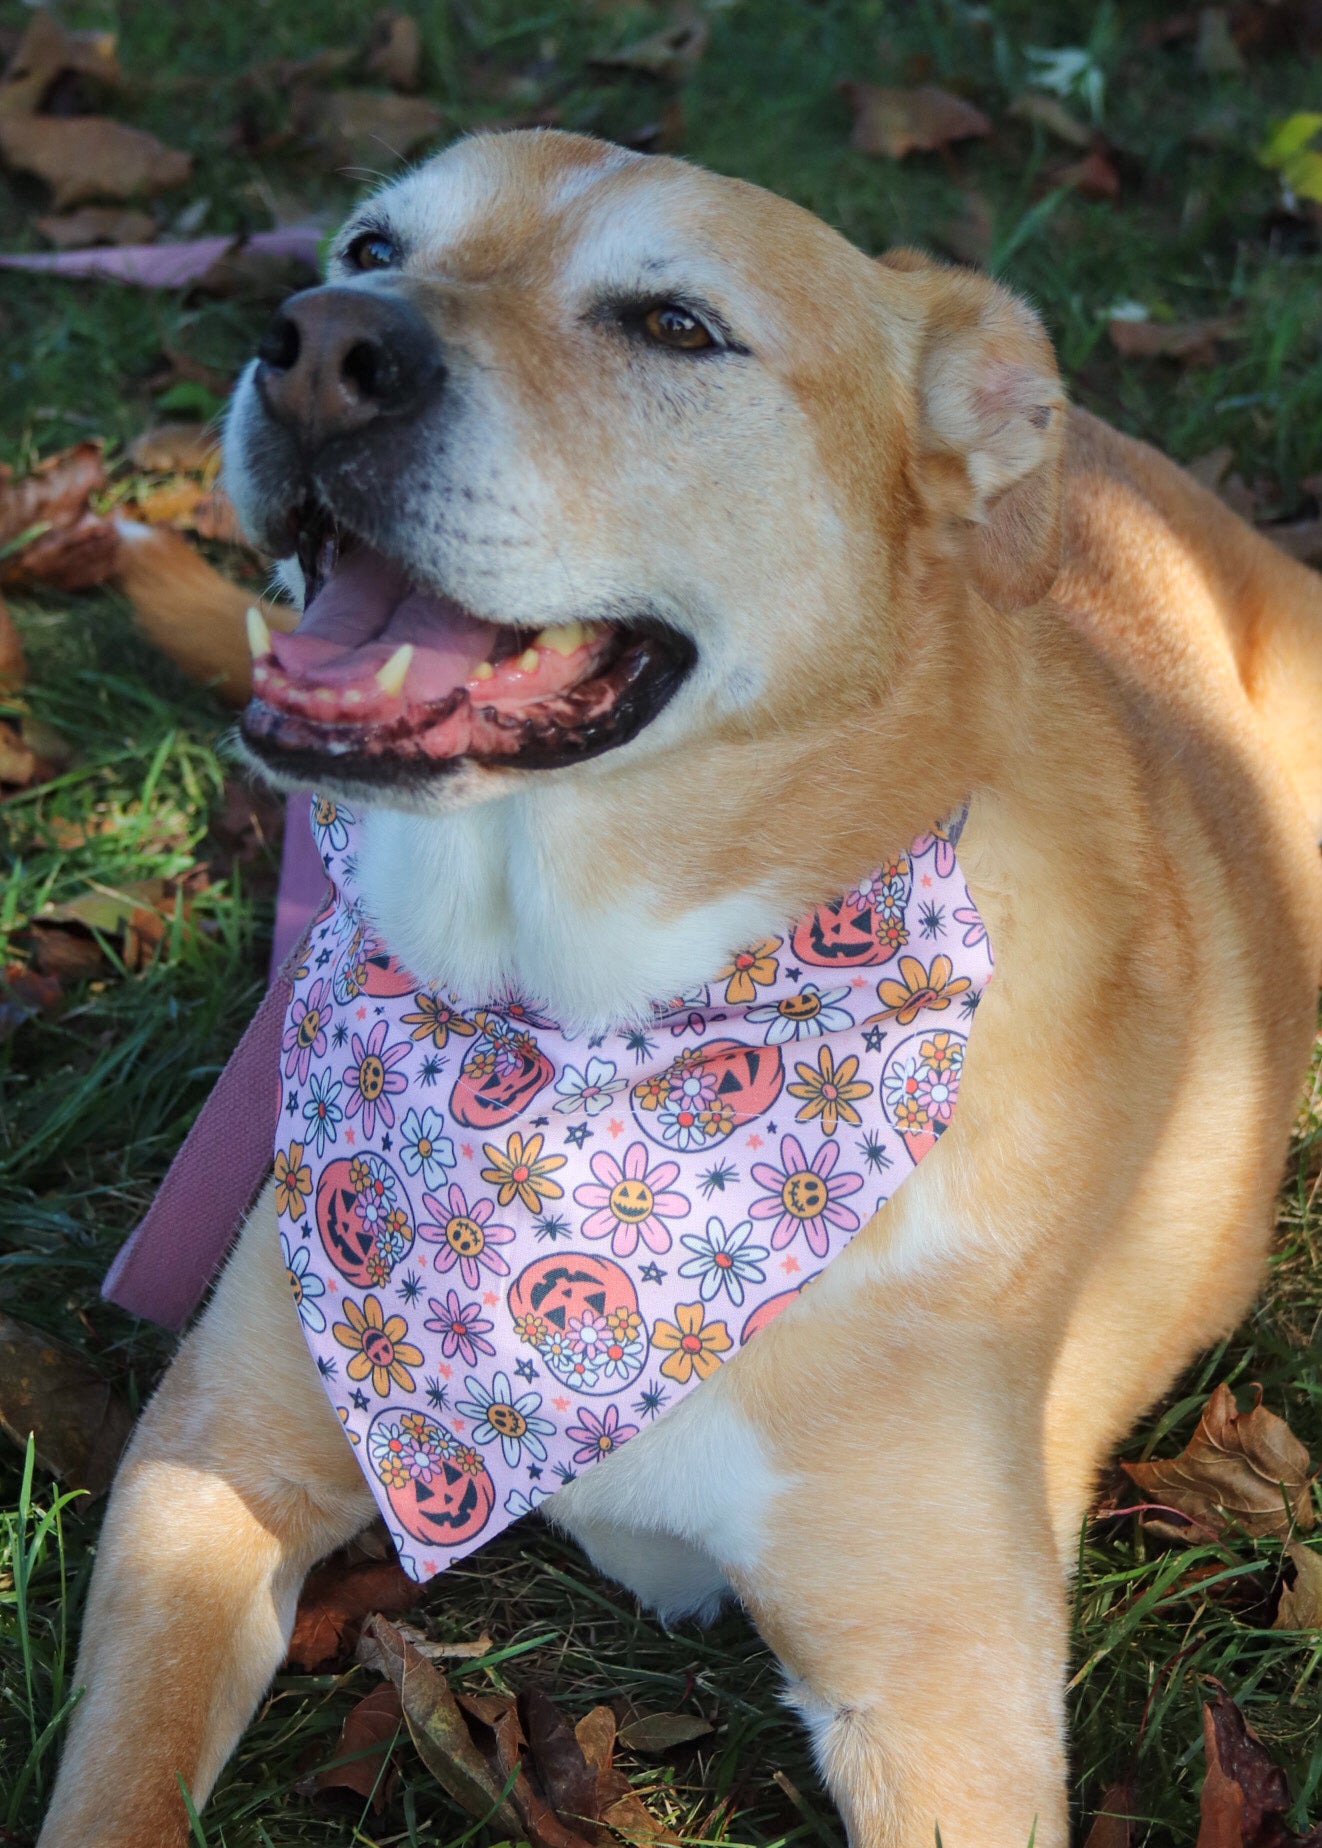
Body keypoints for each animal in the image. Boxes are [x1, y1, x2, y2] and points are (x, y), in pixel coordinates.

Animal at [38, 133, 1322, 1848]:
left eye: (672, 325)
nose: (314, 346)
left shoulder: (942, 1691)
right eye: (370, 243)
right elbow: (113, 1791)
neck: (578, 1042)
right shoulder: (201, 1469)